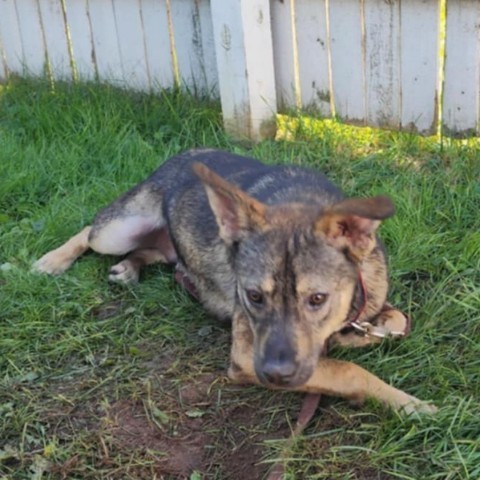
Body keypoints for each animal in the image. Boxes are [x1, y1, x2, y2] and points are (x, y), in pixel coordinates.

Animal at [34, 149, 436, 412]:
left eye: (317, 299)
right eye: (254, 296)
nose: (274, 374)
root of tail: (180, 154)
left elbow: (394, 320)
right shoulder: (246, 353)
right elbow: (351, 372)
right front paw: (411, 405)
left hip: (163, 246)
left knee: (157, 252)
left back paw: (130, 267)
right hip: (115, 233)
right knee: (90, 229)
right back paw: (52, 261)